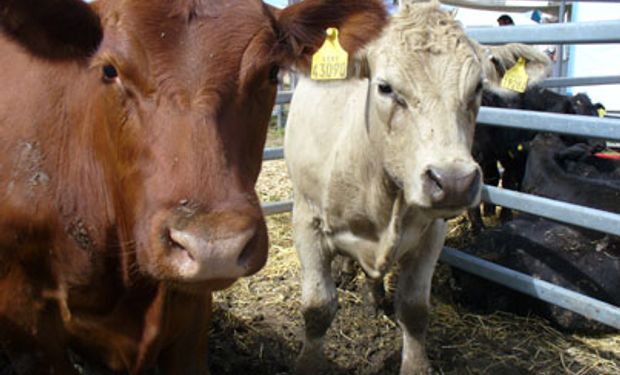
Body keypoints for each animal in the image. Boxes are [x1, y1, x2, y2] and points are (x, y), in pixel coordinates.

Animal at [284, 1, 548, 374]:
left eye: (478, 87)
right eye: (384, 87)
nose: (453, 182)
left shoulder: (431, 233)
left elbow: (413, 310)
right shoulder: (306, 220)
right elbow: (318, 308)